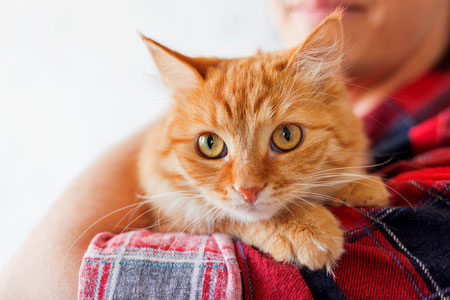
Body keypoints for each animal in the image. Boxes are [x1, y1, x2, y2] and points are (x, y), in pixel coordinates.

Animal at [139, 12, 388, 272]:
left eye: (286, 135)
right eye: (210, 144)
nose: (248, 191)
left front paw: (357, 186)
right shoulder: (173, 217)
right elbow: (225, 216)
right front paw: (302, 226)